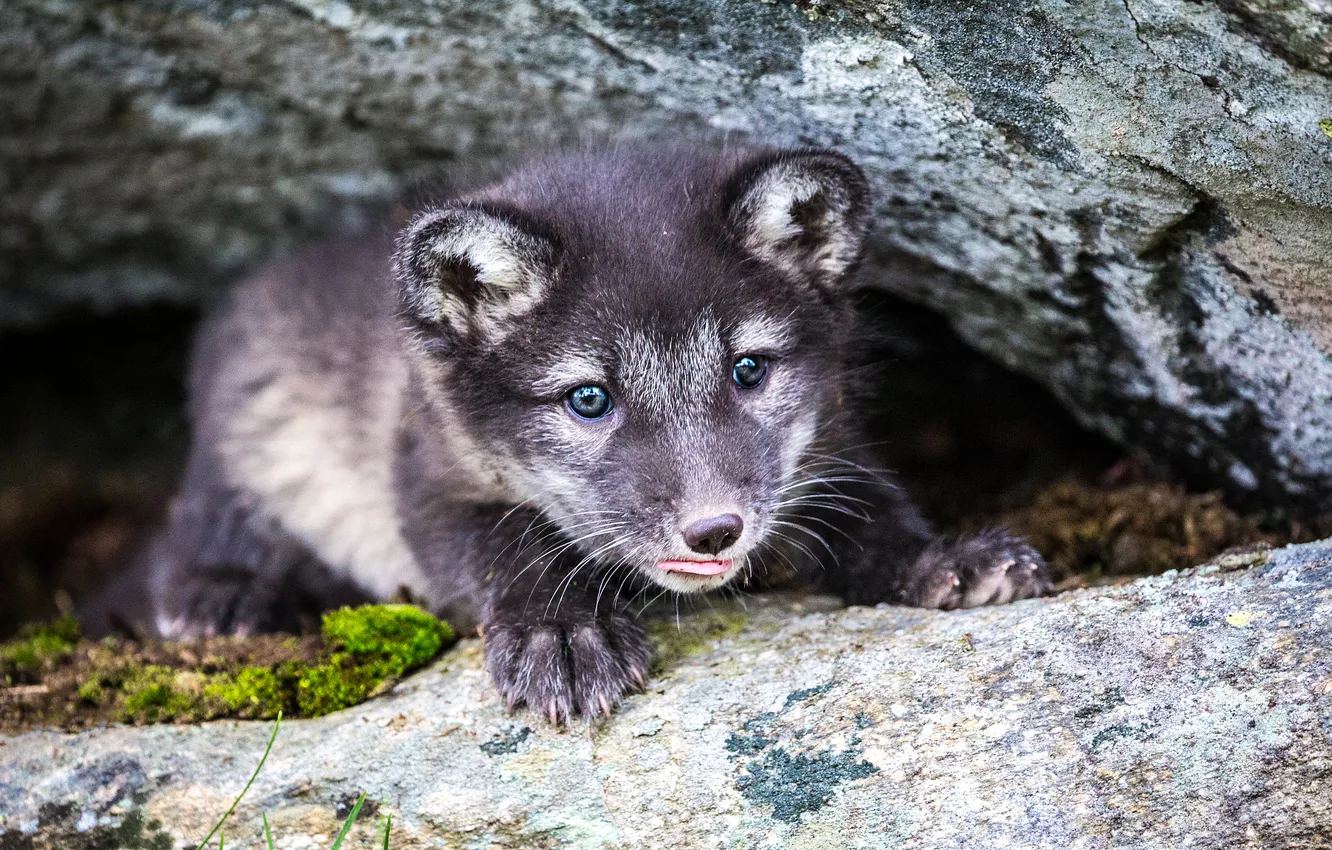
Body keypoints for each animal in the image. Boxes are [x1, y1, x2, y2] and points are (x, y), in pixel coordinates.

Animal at [148, 144, 1051, 722]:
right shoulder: (428, 480)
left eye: (748, 369)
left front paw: (948, 561)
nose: (714, 530)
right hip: (248, 431)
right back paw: (218, 595)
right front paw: (563, 636)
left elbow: (873, 511)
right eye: (588, 398)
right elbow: (506, 542)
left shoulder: (828, 454)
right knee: (202, 516)